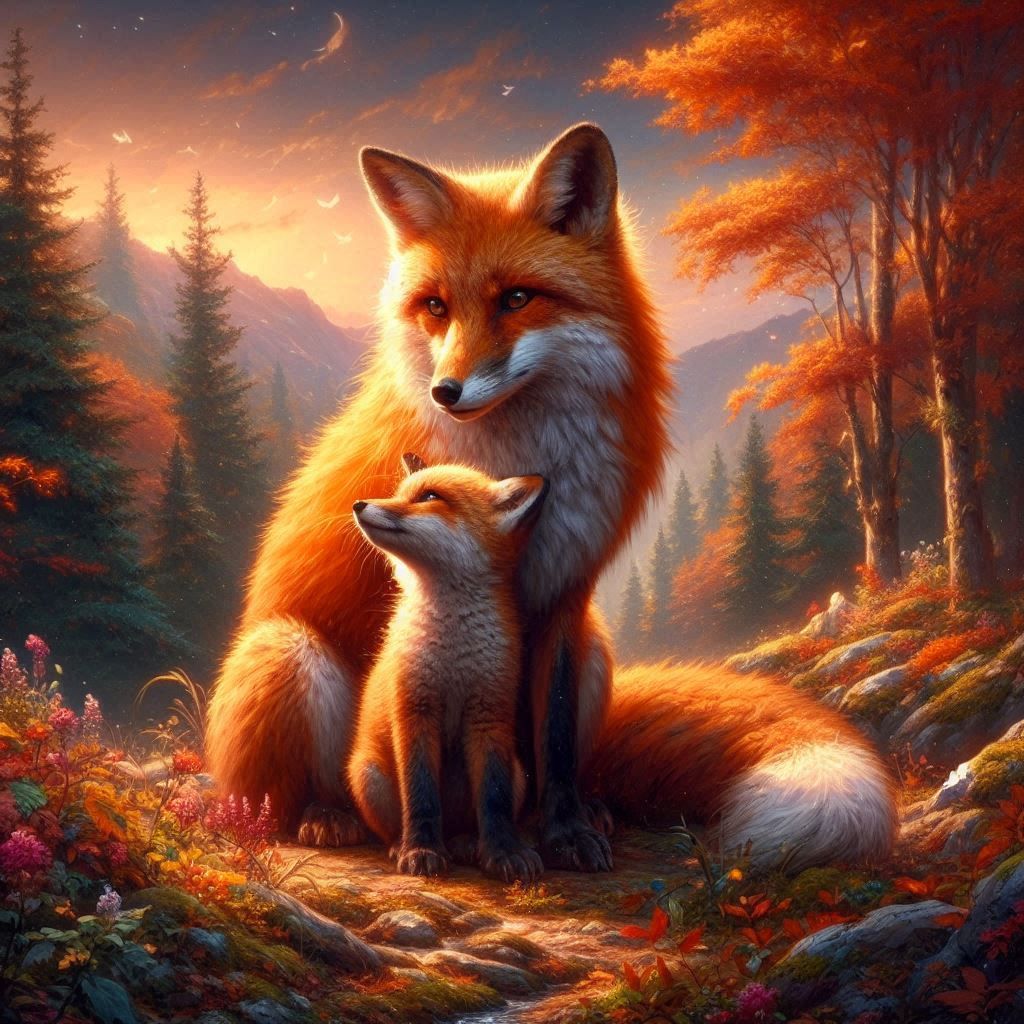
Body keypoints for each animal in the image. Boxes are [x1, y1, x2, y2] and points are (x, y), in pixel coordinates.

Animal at [347, 457, 546, 883]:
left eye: (429, 497)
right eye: (399, 493)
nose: (358, 504)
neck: (454, 645)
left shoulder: (490, 713)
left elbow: (494, 798)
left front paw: (504, 853)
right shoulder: (415, 709)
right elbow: (420, 793)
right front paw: (421, 850)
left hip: (519, 773)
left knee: (470, 821)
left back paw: (468, 844)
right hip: (368, 775)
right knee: (395, 823)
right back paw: (402, 844)